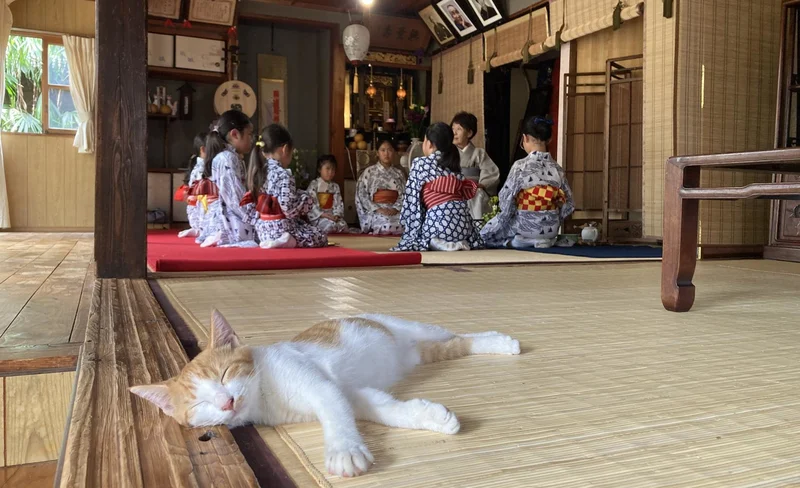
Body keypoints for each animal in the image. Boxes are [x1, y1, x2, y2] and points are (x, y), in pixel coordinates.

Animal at [130, 312, 524, 476]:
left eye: (225, 374)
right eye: (199, 403)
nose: (226, 402)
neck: (265, 393)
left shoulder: (319, 386)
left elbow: (334, 414)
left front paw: (344, 450)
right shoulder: (352, 392)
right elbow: (382, 408)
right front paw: (431, 417)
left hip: (418, 327)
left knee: (458, 335)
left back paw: (499, 341)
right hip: (420, 352)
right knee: (448, 346)